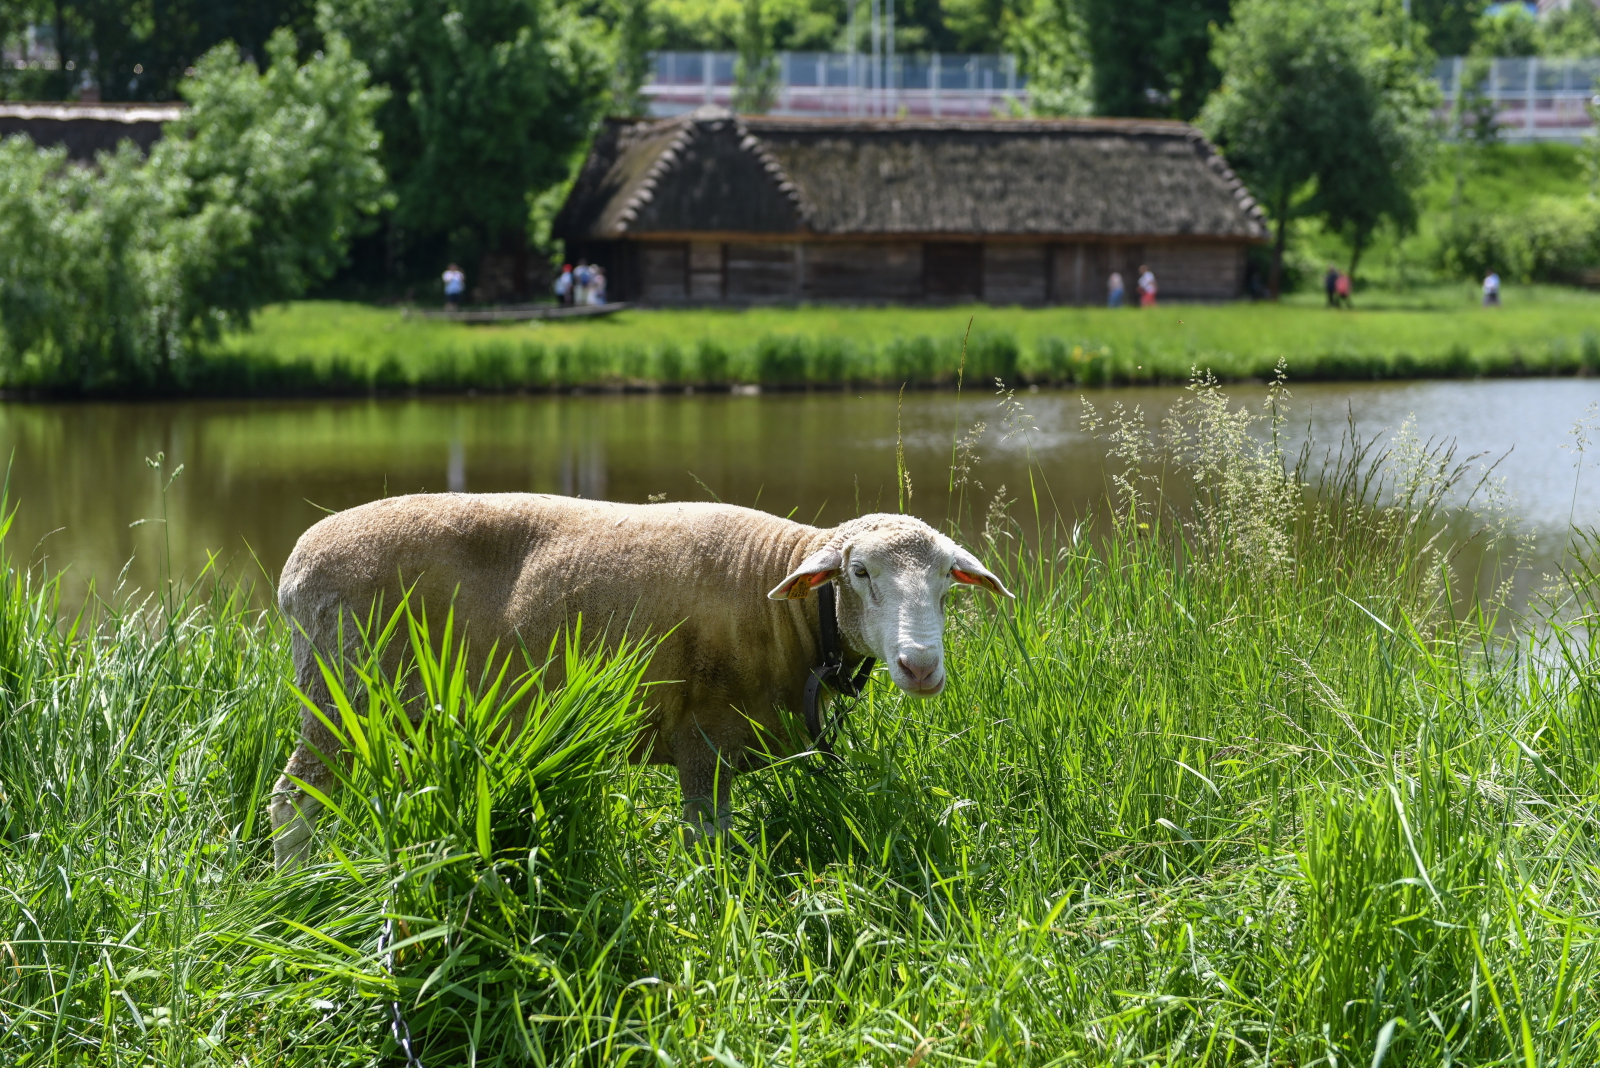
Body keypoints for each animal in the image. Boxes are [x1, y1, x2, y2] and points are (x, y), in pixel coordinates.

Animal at [267, 495, 1004, 869]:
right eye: (860, 573)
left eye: (947, 580)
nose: (921, 666)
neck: (783, 606)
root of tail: (295, 567)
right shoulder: (704, 735)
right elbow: (707, 840)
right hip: (336, 696)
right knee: (293, 800)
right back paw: (300, 885)